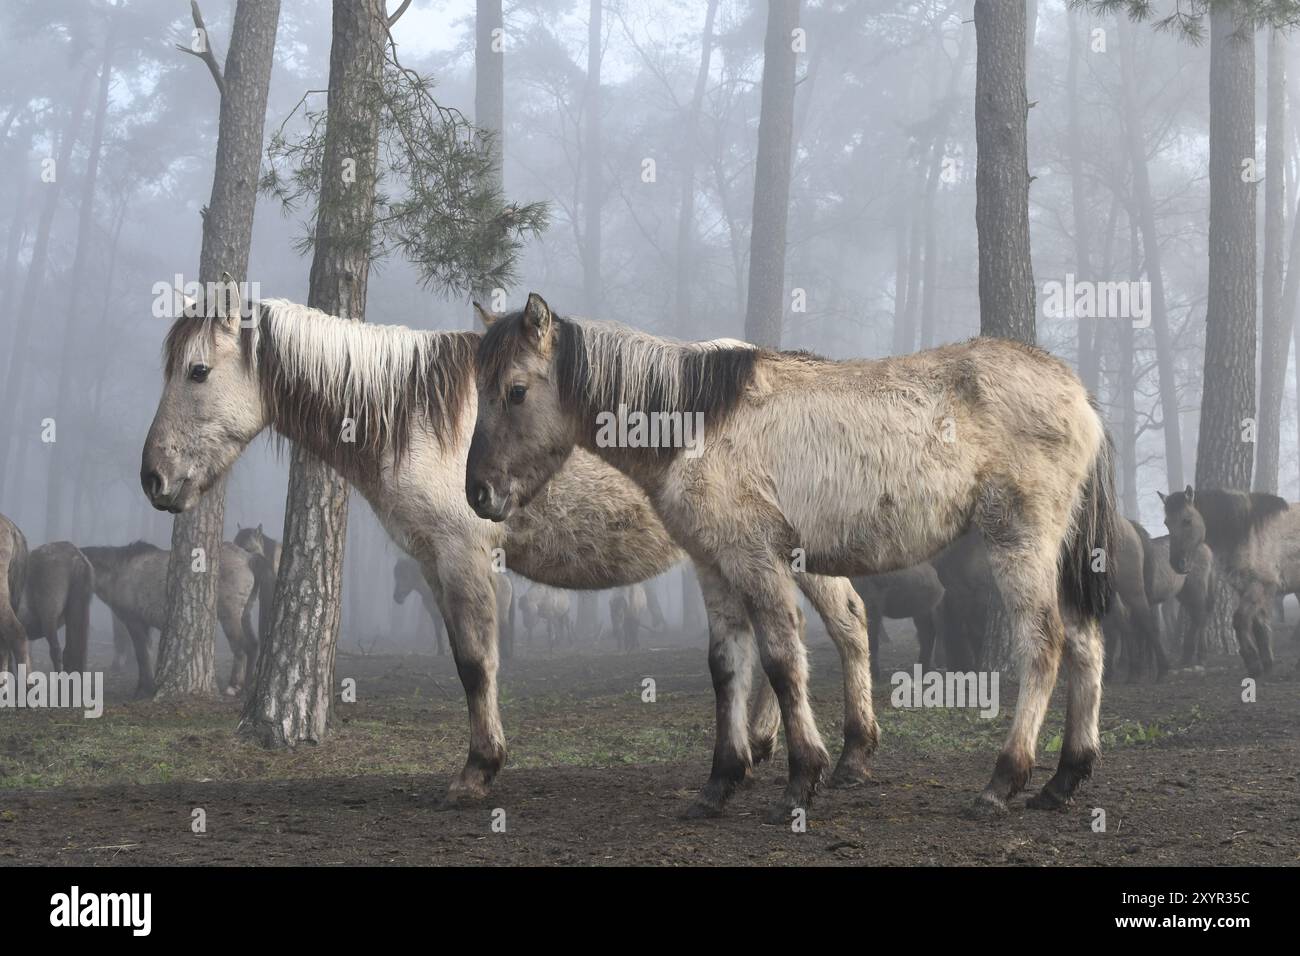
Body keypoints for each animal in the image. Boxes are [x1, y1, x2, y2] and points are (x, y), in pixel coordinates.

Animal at [81, 541, 259, 697]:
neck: (120, 571)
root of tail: (247, 558)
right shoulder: (144, 625)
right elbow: (147, 653)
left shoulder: (135, 623)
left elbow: (142, 655)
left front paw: (143, 689)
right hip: (244, 615)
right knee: (252, 646)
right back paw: (248, 686)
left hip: (230, 617)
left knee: (241, 648)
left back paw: (234, 687)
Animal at [139, 295, 874, 809]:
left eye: (198, 371)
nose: (153, 479)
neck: (416, 415)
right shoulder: (435, 565)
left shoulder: (463, 557)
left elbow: (474, 664)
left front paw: (477, 770)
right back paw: (768, 747)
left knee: (844, 625)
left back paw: (852, 755)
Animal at [468, 293, 1117, 819]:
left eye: (516, 391)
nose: (479, 493)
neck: (700, 423)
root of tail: (1078, 393)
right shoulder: (714, 566)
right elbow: (727, 666)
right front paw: (719, 784)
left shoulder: (756, 560)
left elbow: (781, 662)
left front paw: (801, 780)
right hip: (1059, 552)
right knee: (1085, 642)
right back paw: (1064, 779)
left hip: (1020, 540)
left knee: (1045, 644)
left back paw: (1001, 782)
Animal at [1159, 486, 1298, 676]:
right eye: (1167, 523)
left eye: (1187, 520)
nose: (1178, 563)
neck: (1249, 531)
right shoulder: (1247, 588)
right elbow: (1258, 625)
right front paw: (1267, 664)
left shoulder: (1261, 586)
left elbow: (1239, 620)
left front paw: (1252, 662)